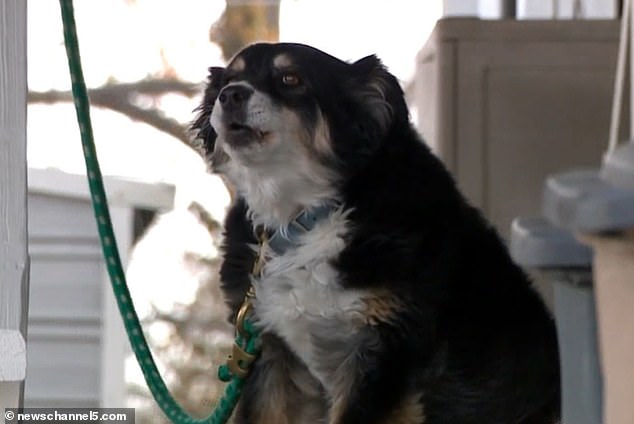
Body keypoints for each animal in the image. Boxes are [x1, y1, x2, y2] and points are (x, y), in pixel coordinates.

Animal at [191, 42, 560, 424]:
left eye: (290, 78)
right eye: (230, 79)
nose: (230, 95)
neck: (303, 217)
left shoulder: (384, 351)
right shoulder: (269, 351)